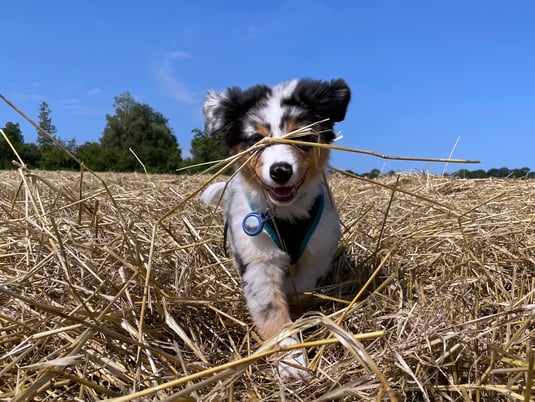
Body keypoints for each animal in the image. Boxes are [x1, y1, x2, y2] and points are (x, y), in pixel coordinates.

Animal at [200, 78, 351, 379]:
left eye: (301, 137)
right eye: (256, 140)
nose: (280, 170)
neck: (287, 215)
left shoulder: (317, 253)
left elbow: (300, 288)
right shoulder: (257, 260)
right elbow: (271, 309)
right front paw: (291, 358)